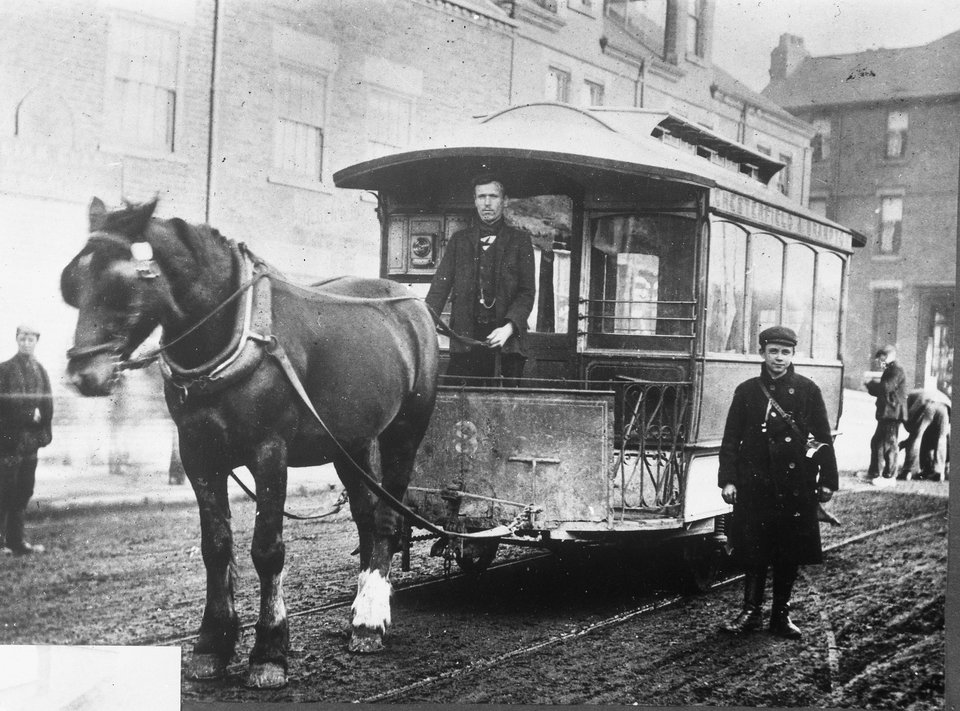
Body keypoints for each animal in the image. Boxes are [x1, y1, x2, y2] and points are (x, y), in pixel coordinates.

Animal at [62, 197, 444, 688]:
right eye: (72, 283)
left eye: (119, 284)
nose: (82, 375)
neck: (232, 331)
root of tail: (412, 302)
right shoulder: (198, 454)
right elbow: (215, 546)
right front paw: (212, 644)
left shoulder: (270, 453)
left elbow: (267, 549)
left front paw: (269, 651)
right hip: (350, 442)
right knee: (365, 514)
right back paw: (360, 609)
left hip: (405, 432)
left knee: (387, 519)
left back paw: (371, 620)